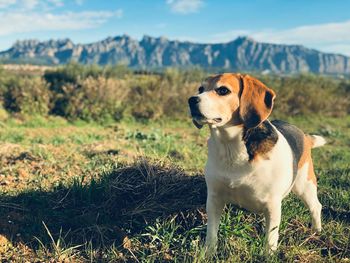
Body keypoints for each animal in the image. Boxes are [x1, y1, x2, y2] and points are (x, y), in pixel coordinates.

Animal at [187, 73, 326, 255]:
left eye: (223, 90)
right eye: (200, 89)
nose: (191, 100)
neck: (231, 148)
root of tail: (304, 135)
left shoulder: (272, 205)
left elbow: (271, 238)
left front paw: (268, 255)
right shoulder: (214, 199)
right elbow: (212, 233)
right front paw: (208, 253)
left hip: (305, 185)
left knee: (316, 206)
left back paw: (316, 232)